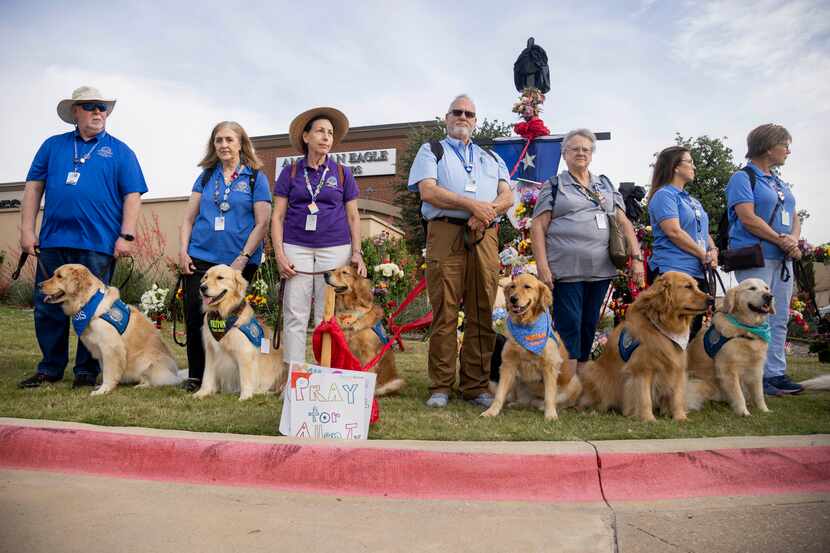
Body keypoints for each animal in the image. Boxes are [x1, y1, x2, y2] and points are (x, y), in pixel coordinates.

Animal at [480, 272, 580, 418]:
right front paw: (491, 411)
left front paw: (550, 415)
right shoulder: (508, 364)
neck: (526, 326)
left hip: (575, 383)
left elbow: (549, 396)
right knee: (522, 401)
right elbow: (499, 394)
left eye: (527, 286)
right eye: (513, 286)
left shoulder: (550, 366)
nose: (512, 299)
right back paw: (517, 404)